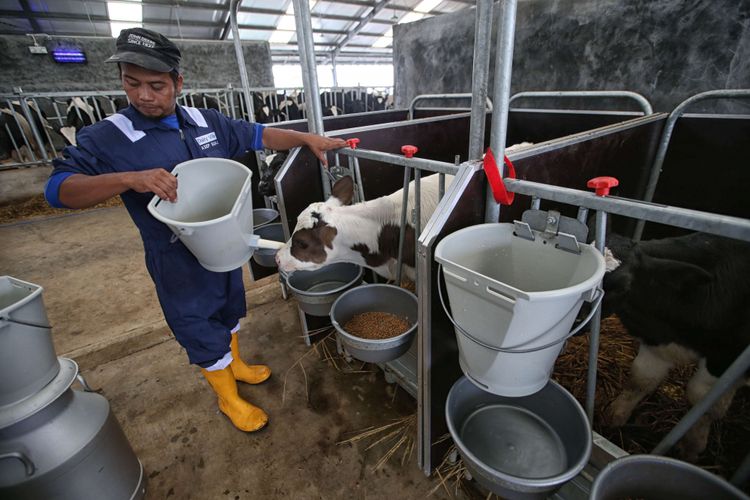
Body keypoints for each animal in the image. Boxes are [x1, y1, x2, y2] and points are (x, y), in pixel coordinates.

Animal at [604, 232, 750, 462]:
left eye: (622, 288)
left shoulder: (725, 361)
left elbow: (703, 401)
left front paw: (691, 448)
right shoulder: (656, 344)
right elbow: (640, 380)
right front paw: (615, 417)